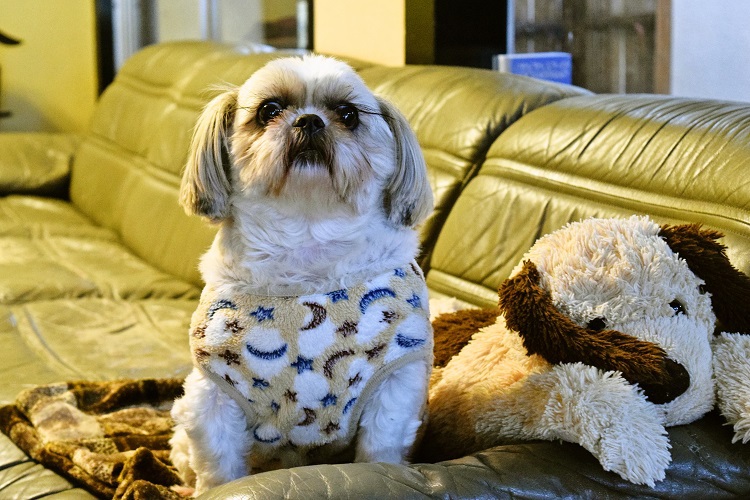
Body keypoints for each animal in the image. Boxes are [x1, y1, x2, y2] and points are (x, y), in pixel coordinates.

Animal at [170, 54, 434, 492]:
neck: (307, 238)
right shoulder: (214, 395)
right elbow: (220, 470)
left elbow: (380, 452)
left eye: (348, 114)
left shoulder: (394, 383)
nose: (309, 120)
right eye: (268, 110)